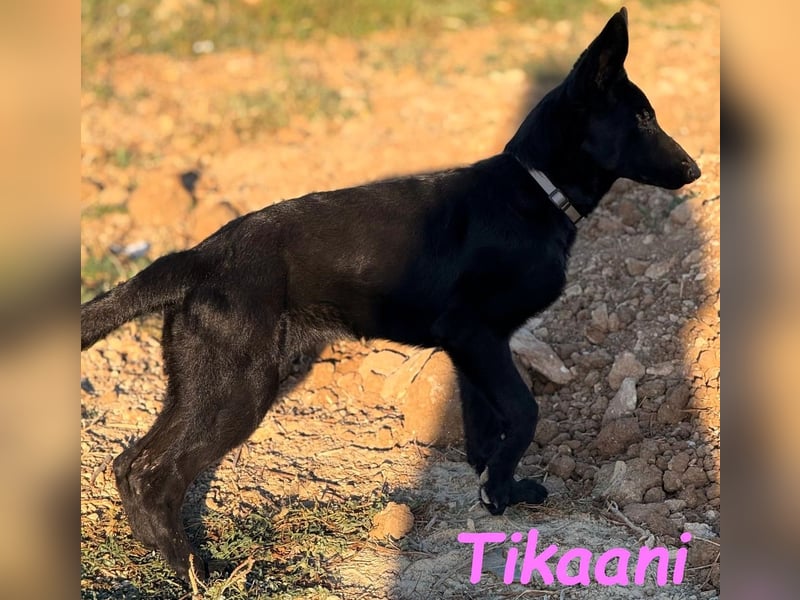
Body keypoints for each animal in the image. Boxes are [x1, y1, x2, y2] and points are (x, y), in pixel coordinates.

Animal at [81, 7, 700, 582]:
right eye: (643, 118)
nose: (695, 170)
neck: (535, 190)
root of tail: (198, 256)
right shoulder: (476, 335)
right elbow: (524, 411)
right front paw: (499, 488)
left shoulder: (475, 349)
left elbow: (483, 427)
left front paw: (499, 489)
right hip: (236, 385)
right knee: (153, 470)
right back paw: (192, 567)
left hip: (202, 382)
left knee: (129, 462)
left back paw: (158, 552)